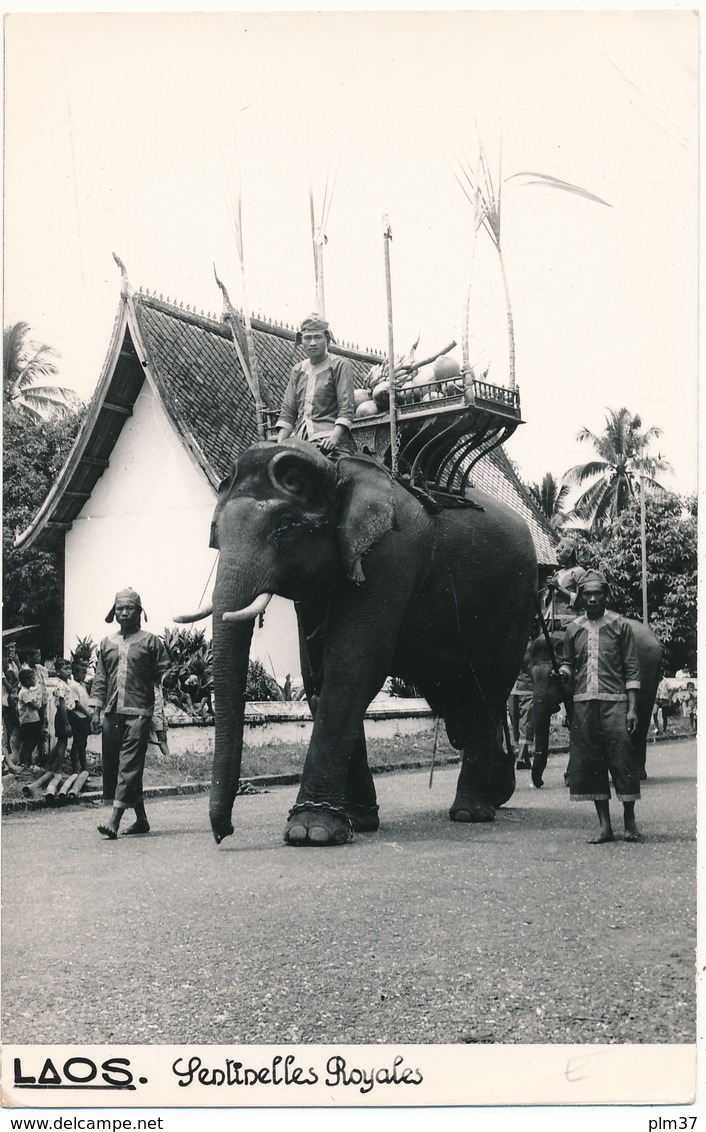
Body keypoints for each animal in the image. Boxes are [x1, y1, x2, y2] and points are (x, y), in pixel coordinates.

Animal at [176, 436, 534, 846]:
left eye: (286, 525)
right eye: (216, 529)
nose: (224, 833)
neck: (337, 467)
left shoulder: (391, 555)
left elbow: (352, 668)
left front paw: (309, 832)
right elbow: (317, 679)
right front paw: (356, 821)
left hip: (515, 603)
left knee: (483, 693)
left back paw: (471, 812)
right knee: (458, 703)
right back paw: (497, 791)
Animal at [529, 611, 660, 787]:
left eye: (552, 680)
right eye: (530, 677)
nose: (541, 782)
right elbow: (576, 722)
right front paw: (573, 778)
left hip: (650, 674)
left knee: (642, 716)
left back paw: (638, 775)